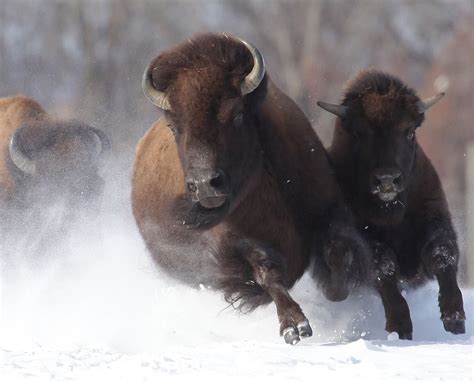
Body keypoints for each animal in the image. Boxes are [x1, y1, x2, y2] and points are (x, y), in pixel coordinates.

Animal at [131, 32, 368, 344]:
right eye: (174, 126)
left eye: (237, 114)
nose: (204, 185)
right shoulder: (236, 244)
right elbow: (266, 275)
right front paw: (295, 327)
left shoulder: (328, 207)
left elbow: (337, 258)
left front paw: (339, 284)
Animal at [316, 70, 464, 338]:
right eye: (359, 134)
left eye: (409, 132)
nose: (387, 179)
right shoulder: (365, 240)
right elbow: (385, 267)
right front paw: (400, 327)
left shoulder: (436, 220)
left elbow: (442, 253)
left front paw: (454, 318)